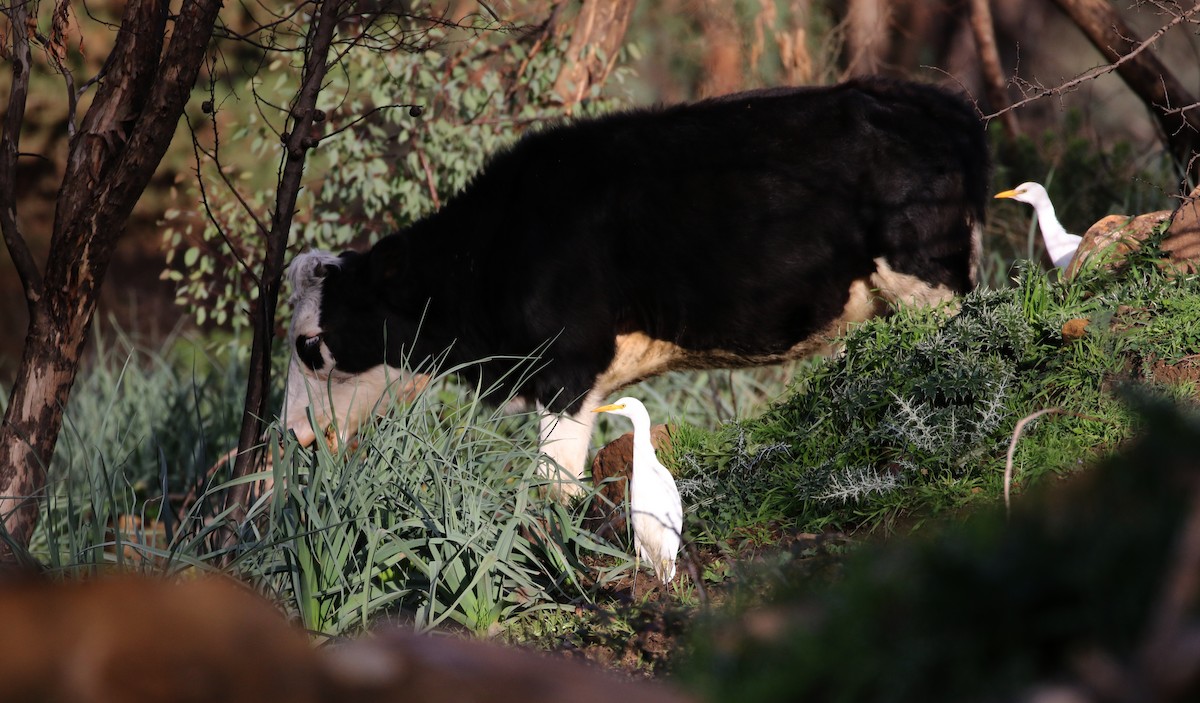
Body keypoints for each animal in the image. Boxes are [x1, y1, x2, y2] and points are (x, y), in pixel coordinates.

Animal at [285, 76, 988, 491]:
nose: (295, 435)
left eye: (310, 345)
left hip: (929, 280)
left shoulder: (565, 367)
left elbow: (552, 486)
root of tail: (930, 98)